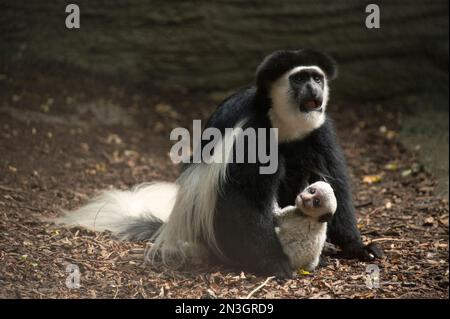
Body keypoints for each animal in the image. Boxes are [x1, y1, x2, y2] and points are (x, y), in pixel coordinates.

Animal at [59, 48, 384, 278]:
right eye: (298, 78)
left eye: (316, 78)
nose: (314, 90)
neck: (278, 120)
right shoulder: (252, 135)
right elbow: (246, 199)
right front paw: (275, 263)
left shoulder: (318, 129)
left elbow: (332, 181)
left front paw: (358, 247)